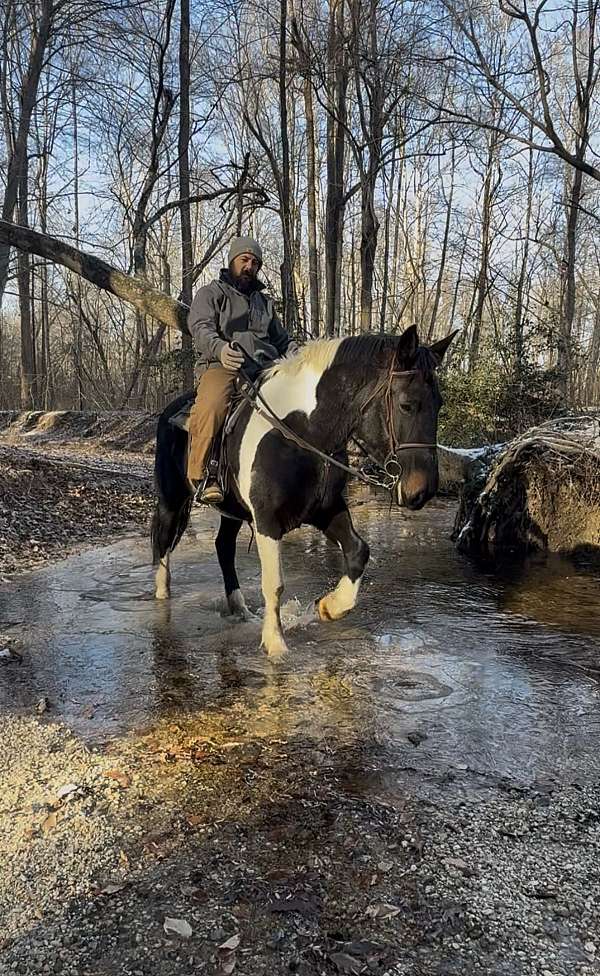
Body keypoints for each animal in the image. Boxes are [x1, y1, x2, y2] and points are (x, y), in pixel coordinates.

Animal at [151, 325, 456, 656]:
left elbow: (358, 551)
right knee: (164, 540)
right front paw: (275, 644)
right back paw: (162, 595)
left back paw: (240, 608)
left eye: (439, 404)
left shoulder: (326, 510)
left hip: (231, 510)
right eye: (406, 404)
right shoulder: (267, 522)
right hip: (172, 498)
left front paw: (330, 606)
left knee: (223, 547)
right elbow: (274, 583)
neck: (300, 431)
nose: (422, 491)